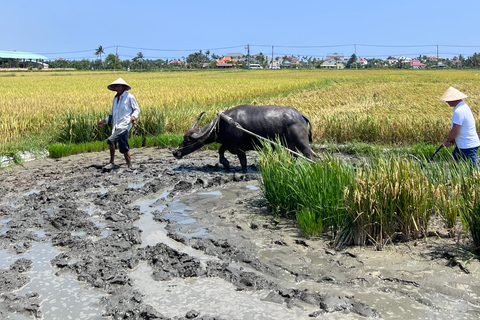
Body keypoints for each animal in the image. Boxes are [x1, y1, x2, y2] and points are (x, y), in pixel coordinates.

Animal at [172, 105, 316, 172]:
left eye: (188, 140)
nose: (175, 152)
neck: (221, 125)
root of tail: (301, 115)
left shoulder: (239, 148)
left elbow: (243, 161)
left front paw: (244, 172)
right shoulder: (229, 144)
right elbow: (220, 151)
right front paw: (226, 164)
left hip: (302, 143)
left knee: (312, 156)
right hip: (292, 146)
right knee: (294, 156)